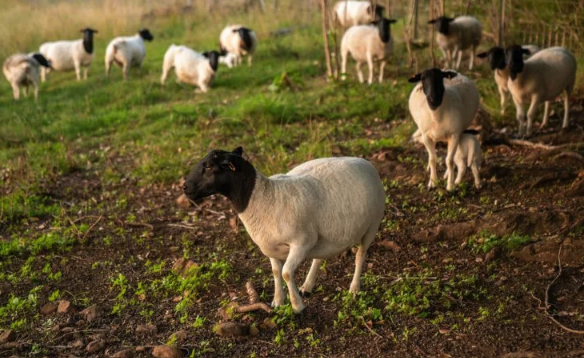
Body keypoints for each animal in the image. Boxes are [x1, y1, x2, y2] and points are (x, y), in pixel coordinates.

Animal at [182, 146, 384, 314]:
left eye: (209, 166)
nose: (185, 187)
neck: (265, 197)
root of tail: (364, 161)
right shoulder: (271, 246)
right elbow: (276, 272)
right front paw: (278, 301)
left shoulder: (302, 243)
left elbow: (286, 272)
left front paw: (297, 306)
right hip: (325, 234)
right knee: (319, 257)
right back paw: (307, 286)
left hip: (372, 224)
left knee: (360, 255)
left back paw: (354, 288)